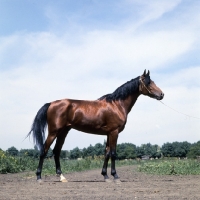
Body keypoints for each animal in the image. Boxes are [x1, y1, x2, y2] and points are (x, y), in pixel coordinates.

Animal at [26, 70, 164, 183]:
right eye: (149, 82)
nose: (162, 94)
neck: (117, 104)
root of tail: (51, 104)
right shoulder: (114, 132)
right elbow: (113, 153)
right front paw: (115, 176)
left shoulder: (109, 133)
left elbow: (106, 153)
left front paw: (105, 176)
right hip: (53, 132)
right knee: (44, 151)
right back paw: (39, 177)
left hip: (63, 132)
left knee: (56, 151)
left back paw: (62, 177)